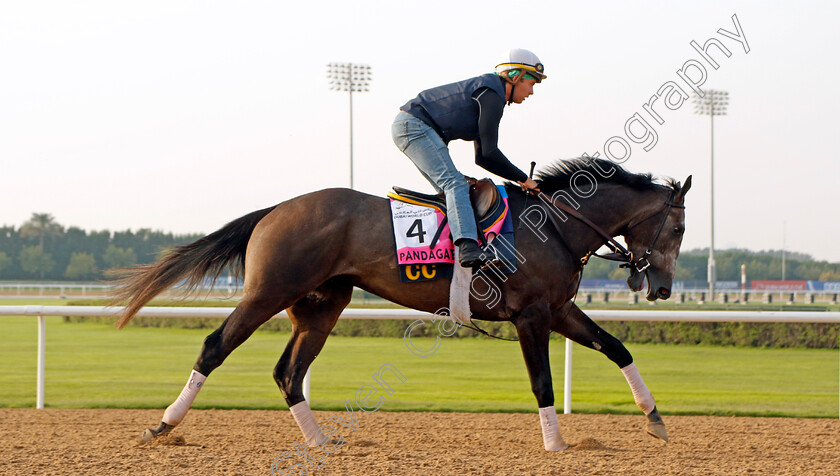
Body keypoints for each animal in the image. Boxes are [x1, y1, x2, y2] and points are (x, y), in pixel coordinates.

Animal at [110, 158, 688, 452]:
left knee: (288, 372)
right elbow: (542, 382)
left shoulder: (560, 309)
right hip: (267, 293)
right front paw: (555, 446)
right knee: (215, 347)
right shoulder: (532, 317)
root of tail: (276, 209)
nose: (661, 288)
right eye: (679, 227)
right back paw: (164, 424)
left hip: (320, 307)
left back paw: (321, 442)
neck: (555, 226)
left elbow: (617, 349)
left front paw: (655, 418)